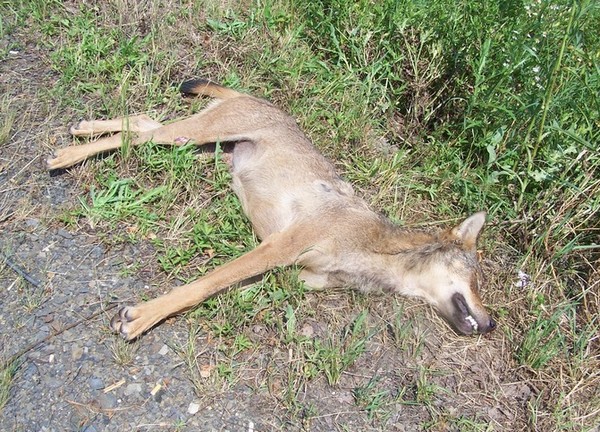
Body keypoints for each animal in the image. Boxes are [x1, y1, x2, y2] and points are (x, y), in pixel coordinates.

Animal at [47, 79, 496, 340]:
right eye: (476, 281)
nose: (491, 325)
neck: (376, 252)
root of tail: (258, 99)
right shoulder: (278, 247)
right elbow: (201, 287)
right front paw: (142, 317)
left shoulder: (288, 271)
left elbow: (220, 286)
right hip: (191, 136)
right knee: (139, 132)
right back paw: (68, 155)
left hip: (190, 143)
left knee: (140, 122)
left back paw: (83, 130)